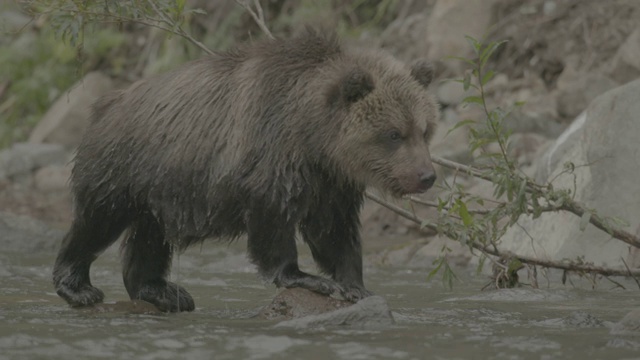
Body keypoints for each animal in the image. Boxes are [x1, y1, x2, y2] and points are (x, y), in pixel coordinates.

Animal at [52, 29, 438, 312]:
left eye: (425, 130)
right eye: (394, 134)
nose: (427, 175)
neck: (313, 136)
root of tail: (106, 103)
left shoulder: (331, 182)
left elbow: (334, 230)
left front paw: (356, 285)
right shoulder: (273, 157)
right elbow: (273, 222)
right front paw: (307, 277)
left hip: (160, 188)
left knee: (150, 236)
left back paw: (165, 291)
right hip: (125, 166)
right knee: (97, 221)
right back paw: (78, 286)